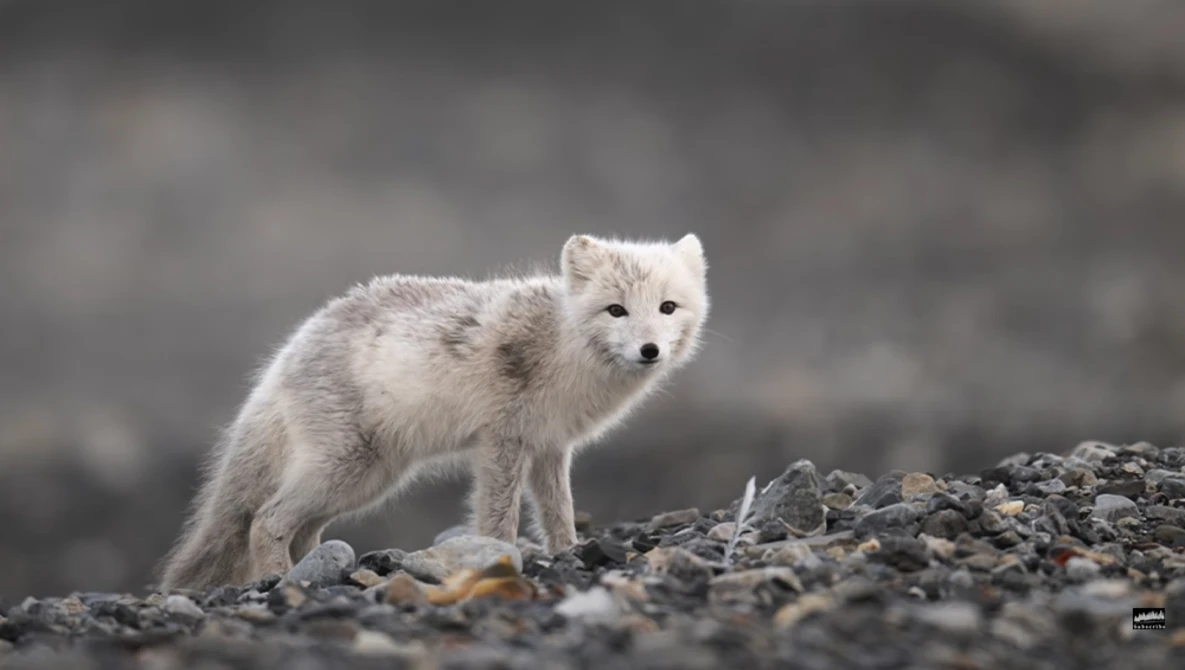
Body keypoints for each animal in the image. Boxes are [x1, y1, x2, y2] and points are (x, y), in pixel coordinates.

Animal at [157, 233, 710, 591]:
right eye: (616, 310)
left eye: (667, 308)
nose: (649, 351)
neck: (563, 346)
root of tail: (290, 349)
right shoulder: (502, 442)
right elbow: (499, 516)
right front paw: (502, 560)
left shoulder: (550, 446)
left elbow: (558, 512)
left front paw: (566, 552)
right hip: (346, 467)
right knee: (265, 519)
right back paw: (275, 578)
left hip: (367, 479)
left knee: (303, 528)